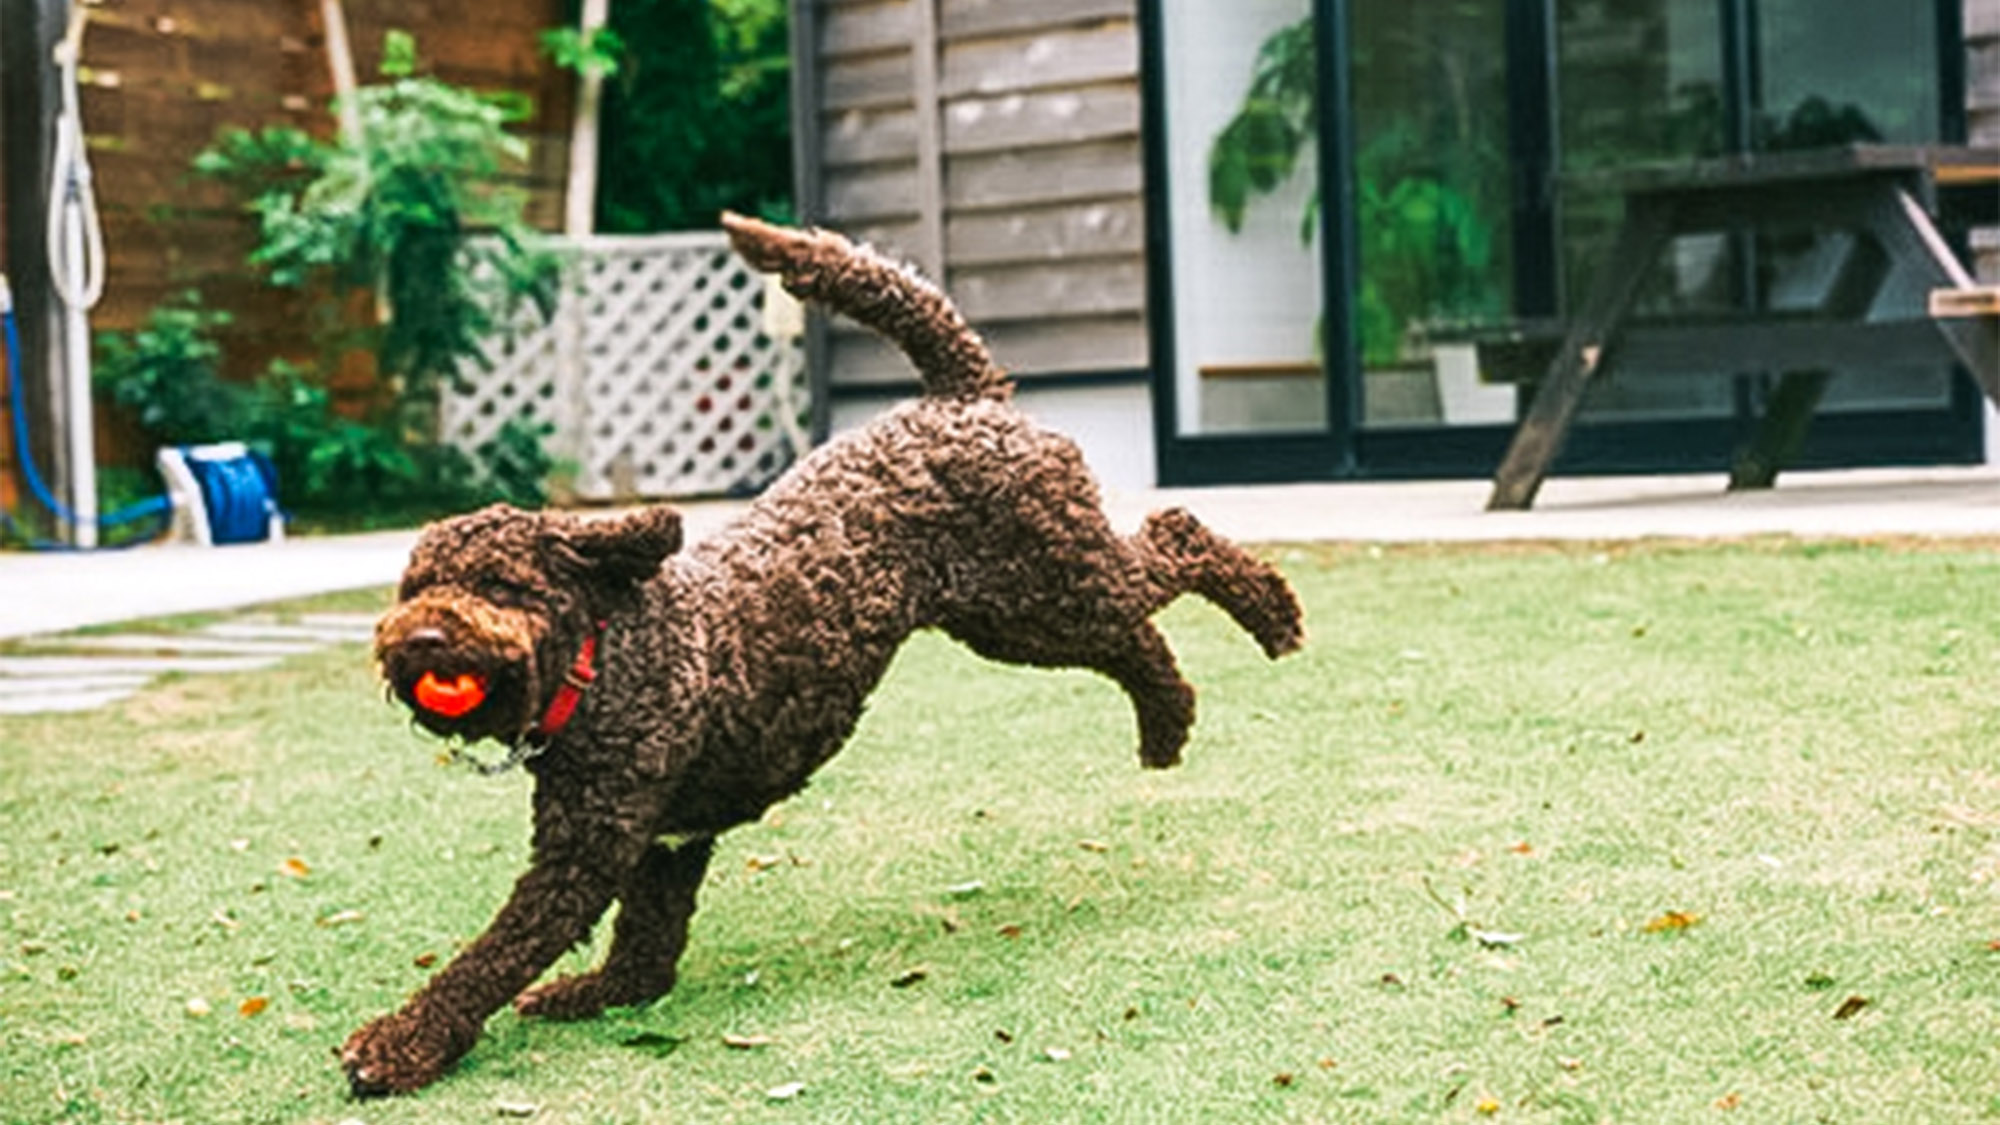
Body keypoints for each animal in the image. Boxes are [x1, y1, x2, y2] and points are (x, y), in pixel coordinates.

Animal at [340, 214, 1312, 1088]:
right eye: (414, 585)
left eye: (499, 585)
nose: (423, 636)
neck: (609, 655)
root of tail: (960, 398)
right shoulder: (661, 844)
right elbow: (644, 958)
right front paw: (594, 992)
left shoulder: (581, 858)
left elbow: (490, 955)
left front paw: (397, 1045)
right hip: (1019, 613)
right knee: (1135, 627)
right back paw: (1168, 720)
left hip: (1045, 589)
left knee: (1173, 542)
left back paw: (1257, 627)